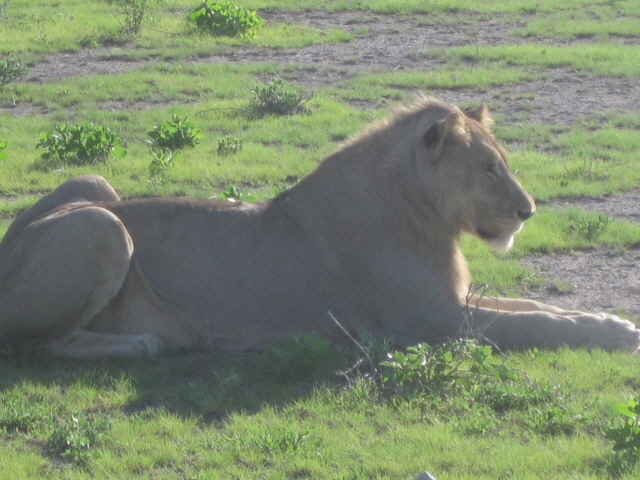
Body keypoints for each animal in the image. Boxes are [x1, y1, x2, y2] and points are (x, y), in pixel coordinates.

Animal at [1, 96, 640, 356]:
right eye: (488, 167)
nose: (528, 211)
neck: (426, 213)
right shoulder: (433, 323)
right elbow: (537, 326)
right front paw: (615, 333)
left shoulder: (454, 301)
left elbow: (538, 308)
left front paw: (610, 318)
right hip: (102, 226)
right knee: (35, 345)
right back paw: (143, 342)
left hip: (94, 185)